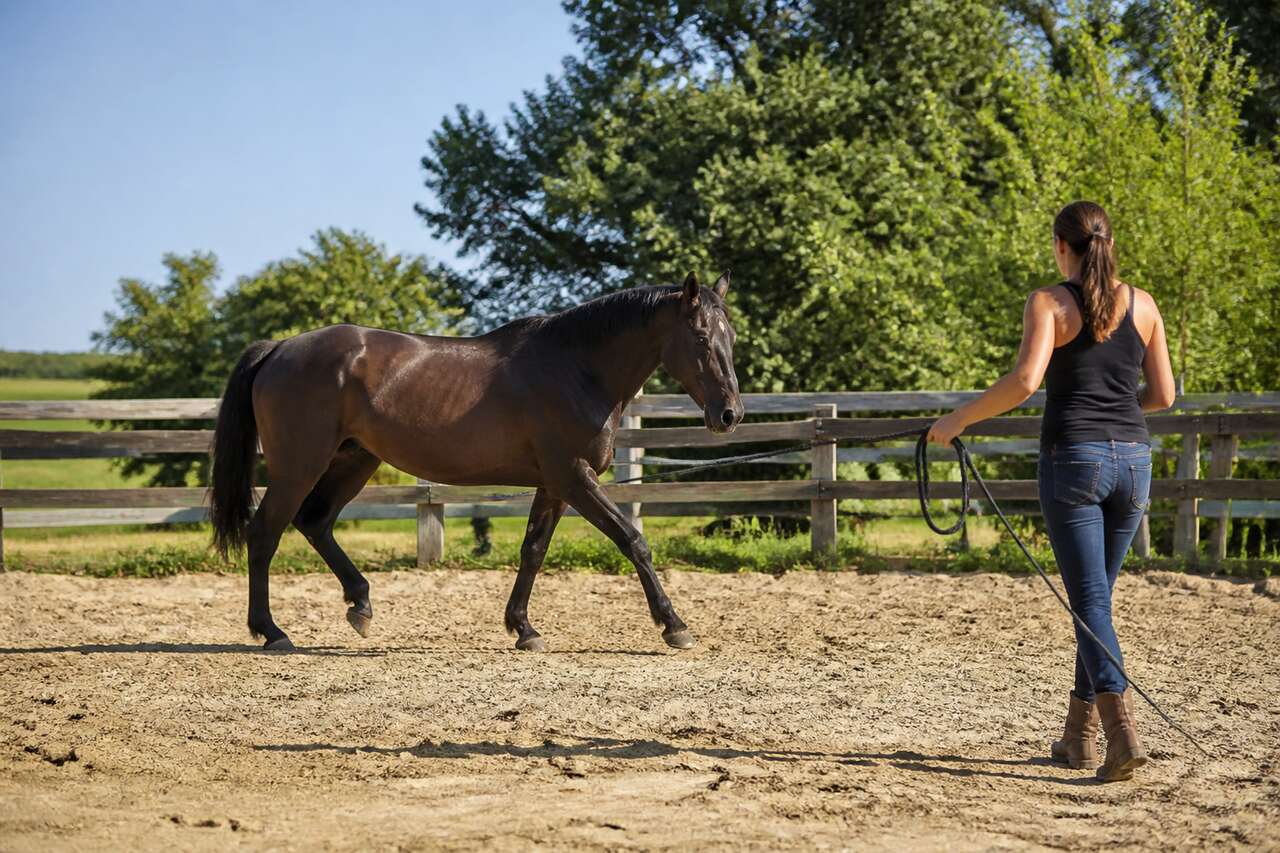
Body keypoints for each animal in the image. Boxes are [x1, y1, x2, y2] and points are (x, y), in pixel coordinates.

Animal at [209, 272, 742, 652]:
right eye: (700, 338)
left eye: (730, 337)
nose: (730, 414)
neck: (576, 368)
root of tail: (279, 348)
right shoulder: (575, 477)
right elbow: (633, 540)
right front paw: (674, 625)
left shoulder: (554, 484)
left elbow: (532, 551)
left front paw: (523, 629)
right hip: (300, 465)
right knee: (265, 533)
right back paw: (271, 631)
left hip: (353, 461)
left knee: (314, 522)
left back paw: (360, 604)